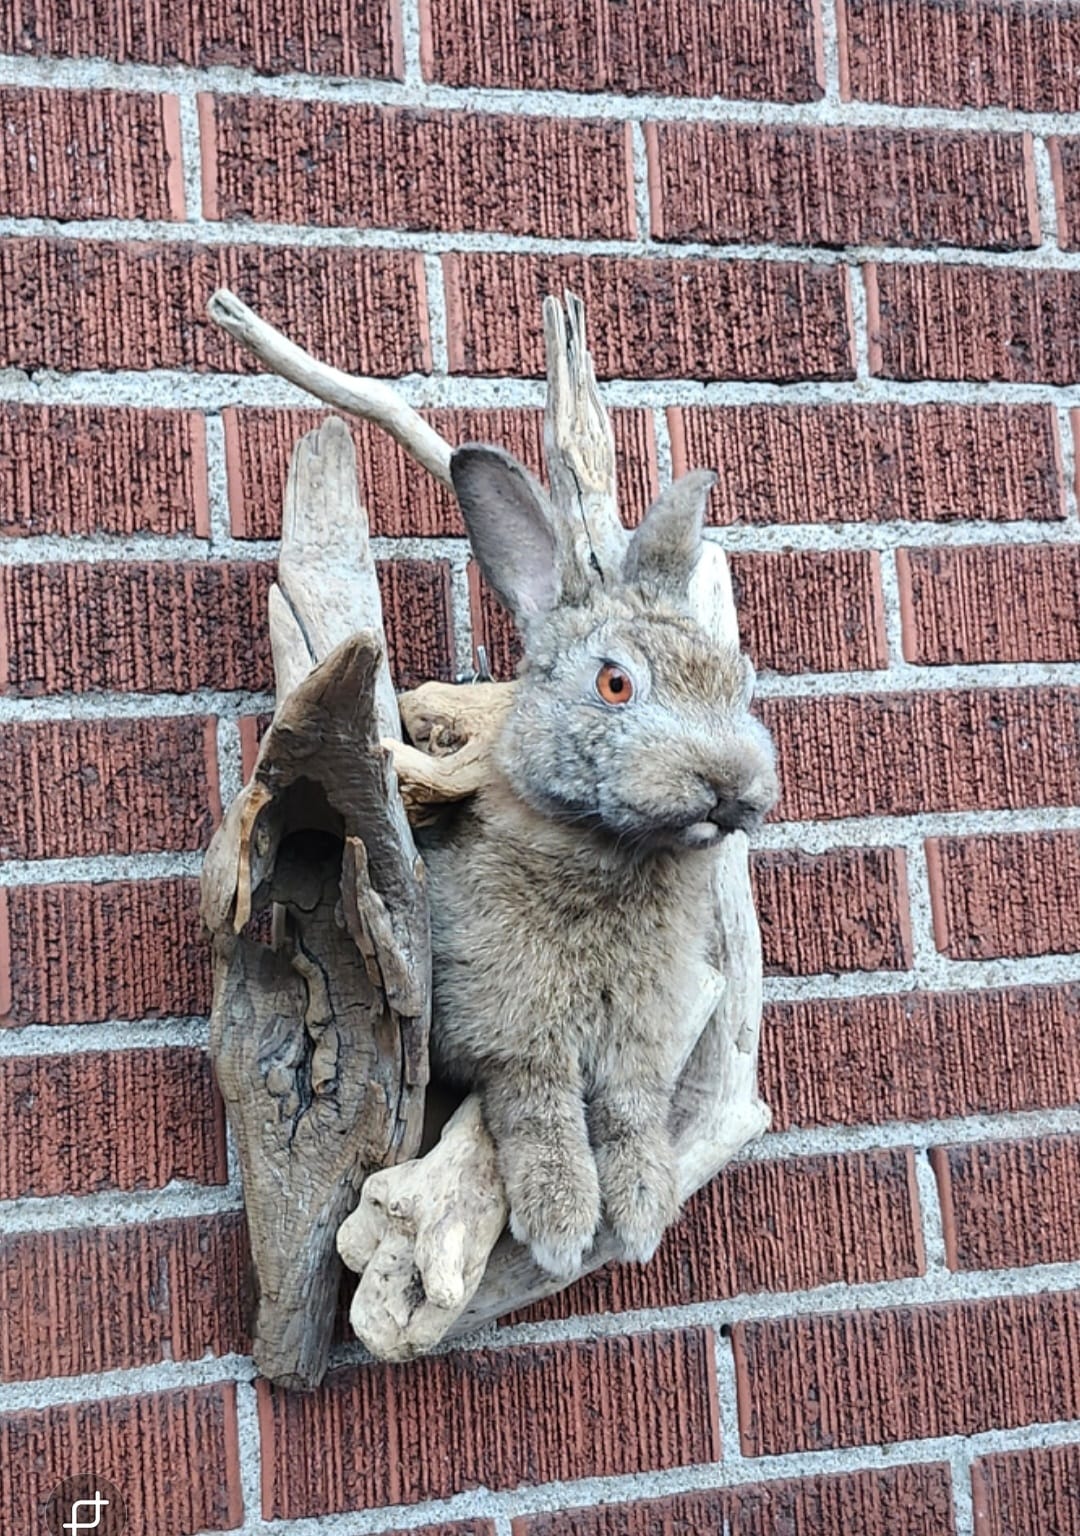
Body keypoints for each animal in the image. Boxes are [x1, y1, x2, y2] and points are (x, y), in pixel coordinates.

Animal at [416, 444, 778, 1279]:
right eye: (615, 684)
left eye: (738, 682)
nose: (729, 785)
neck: (613, 852)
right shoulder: (510, 1028)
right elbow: (540, 1113)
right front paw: (559, 1225)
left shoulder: (642, 1033)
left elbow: (630, 1109)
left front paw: (643, 1211)